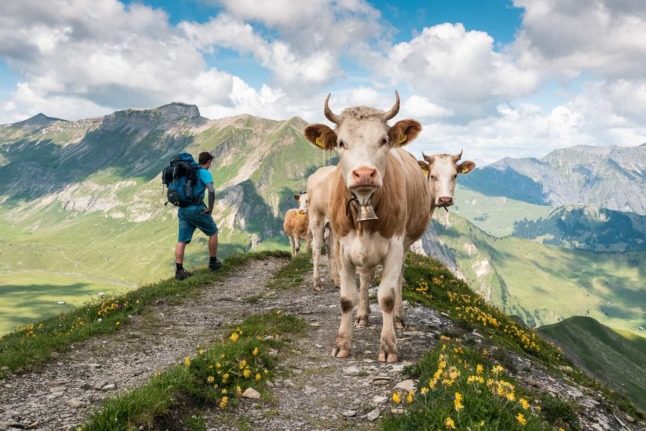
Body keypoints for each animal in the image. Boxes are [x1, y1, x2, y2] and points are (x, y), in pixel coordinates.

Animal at [304, 93, 430, 362]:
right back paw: (360, 313)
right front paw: (342, 343)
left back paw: (399, 319)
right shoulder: (344, 246)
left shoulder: (394, 245)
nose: (364, 173)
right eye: (341, 142)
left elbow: (387, 296)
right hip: (319, 220)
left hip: (405, 243)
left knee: (397, 280)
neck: (364, 205)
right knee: (355, 271)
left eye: (383, 140)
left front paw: (389, 346)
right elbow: (346, 298)